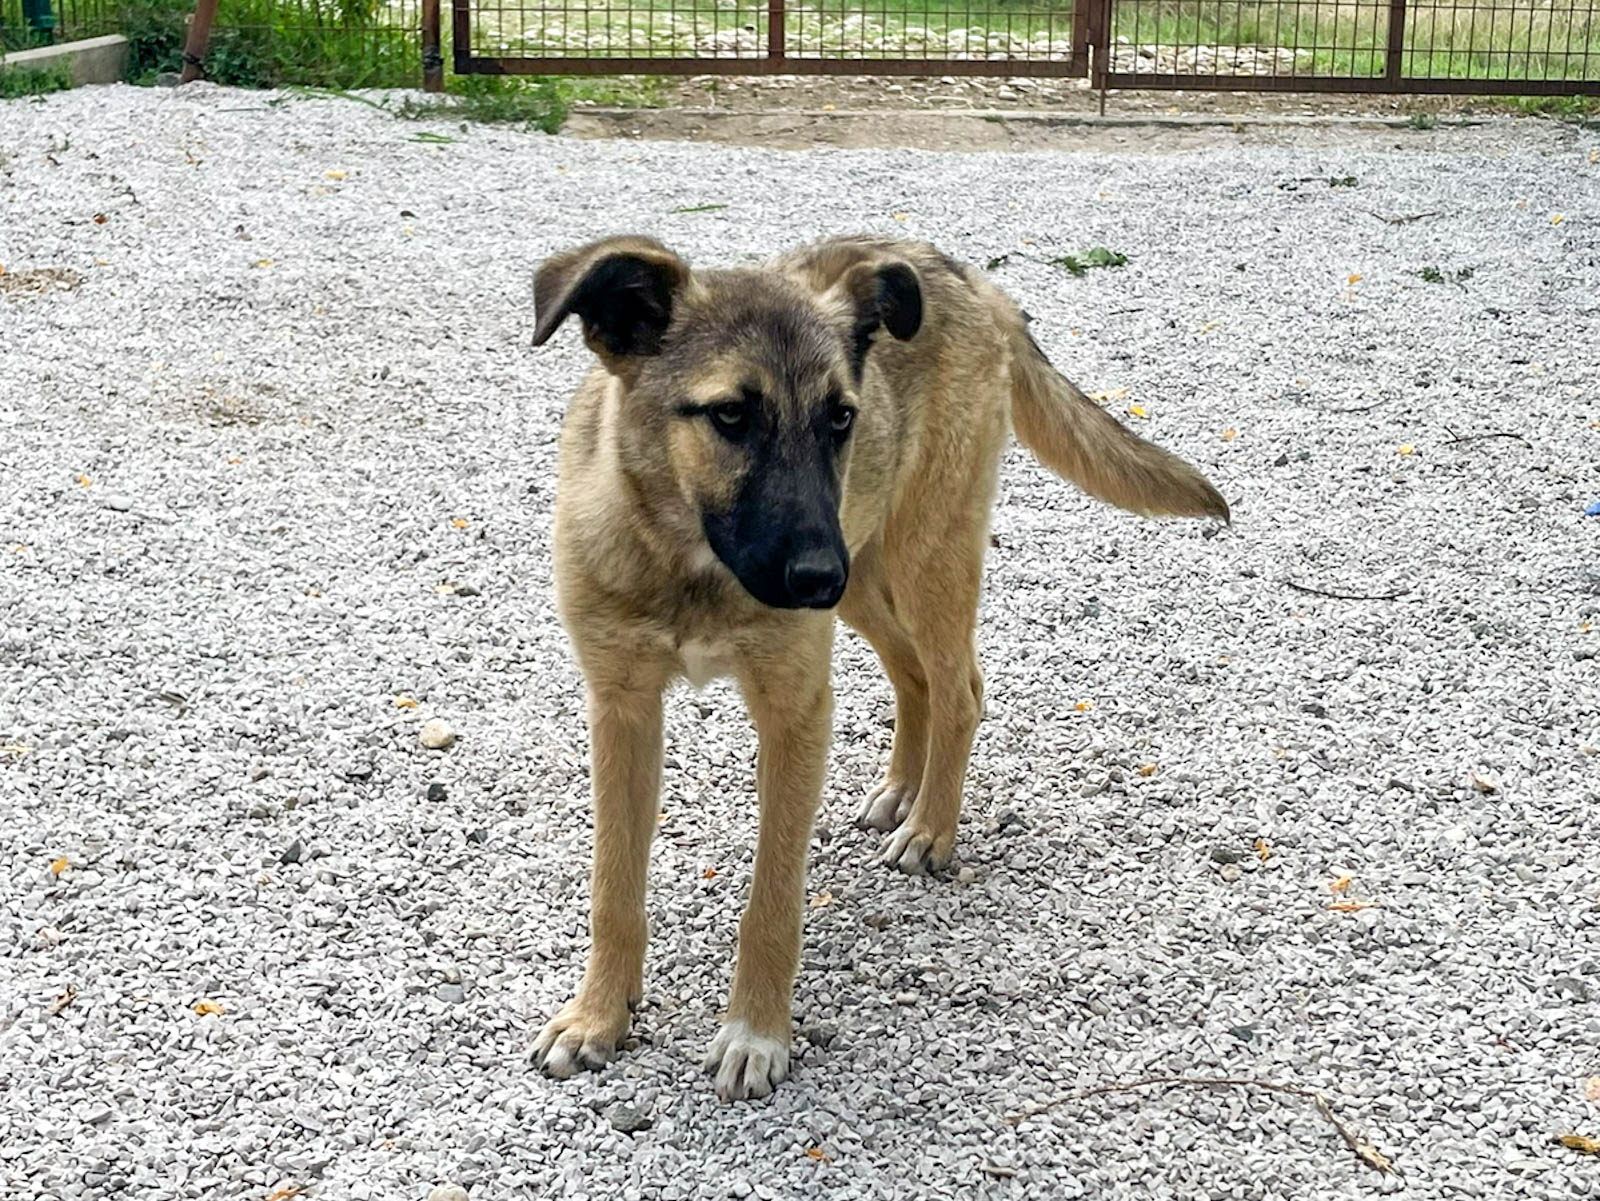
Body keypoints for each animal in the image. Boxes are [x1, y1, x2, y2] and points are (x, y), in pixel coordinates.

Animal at [527, 235, 1228, 1101]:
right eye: (730, 415)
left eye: (841, 416)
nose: (814, 577)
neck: (689, 559)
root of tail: (958, 271)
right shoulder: (622, 707)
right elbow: (613, 885)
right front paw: (599, 1014)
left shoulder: (795, 709)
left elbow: (773, 897)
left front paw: (756, 1031)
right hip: (867, 575)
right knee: (915, 676)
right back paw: (905, 790)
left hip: (919, 554)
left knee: (960, 687)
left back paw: (932, 826)